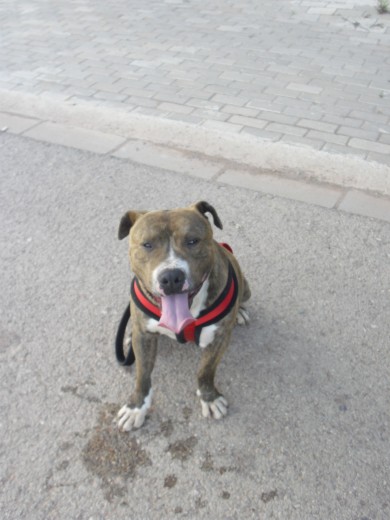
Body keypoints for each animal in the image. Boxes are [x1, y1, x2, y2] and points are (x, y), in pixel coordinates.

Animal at [116, 201, 250, 428]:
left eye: (192, 241)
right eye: (147, 244)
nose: (171, 277)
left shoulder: (219, 338)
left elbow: (206, 370)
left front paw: (209, 398)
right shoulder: (143, 337)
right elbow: (142, 374)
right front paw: (136, 407)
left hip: (246, 287)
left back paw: (240, 311)